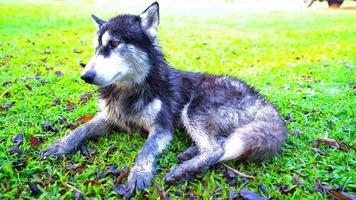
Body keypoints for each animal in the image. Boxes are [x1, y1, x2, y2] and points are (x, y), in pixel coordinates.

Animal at [42, 1, 286, 198]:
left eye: (113, 44)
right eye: (96, 47)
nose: (86, 76)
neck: (129, 90)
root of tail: (263, 101)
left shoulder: (162, 127)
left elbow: (145, 149)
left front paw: (139, 173)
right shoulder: (110, 118)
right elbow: (81, 129)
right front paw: (60, 144)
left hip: (193, 109)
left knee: (215, 149)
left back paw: (182, 171)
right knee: (220, 142)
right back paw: (189, 153)